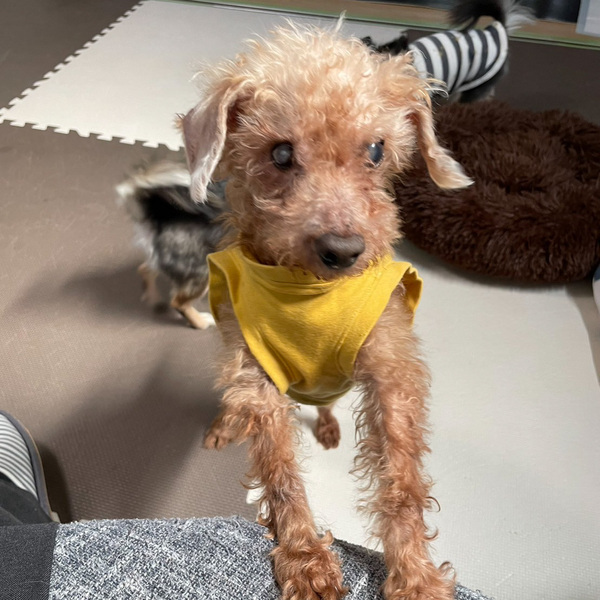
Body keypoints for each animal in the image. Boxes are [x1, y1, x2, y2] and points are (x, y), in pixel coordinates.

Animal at [117, 161, 227, 329]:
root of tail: (161, 217)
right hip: (201, 270)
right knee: (179, 303)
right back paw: (201, 322)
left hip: (166, 260)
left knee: (144, 270)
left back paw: (153, 299)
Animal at [180, 18, 473, 600]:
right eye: (280, 154)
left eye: (377, 150)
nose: (343, 250)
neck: (308, 288)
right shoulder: (257, 373)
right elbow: (279, 471)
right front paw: (304, 557)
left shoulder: (391, 370)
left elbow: (402, 481)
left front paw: (415, 575)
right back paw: (227, 425)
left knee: (328, 406)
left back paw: (330, 424)